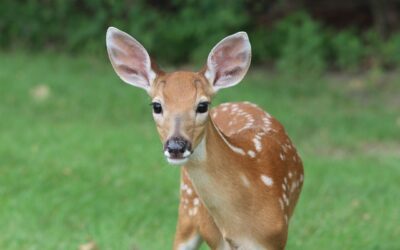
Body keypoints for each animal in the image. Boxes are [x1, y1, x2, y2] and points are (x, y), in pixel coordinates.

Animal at [105, 27, 304, 250]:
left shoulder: (275, 238)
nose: (176, 146)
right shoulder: (217, 240)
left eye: (202, 105)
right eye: (156, 106)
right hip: (188, 208)